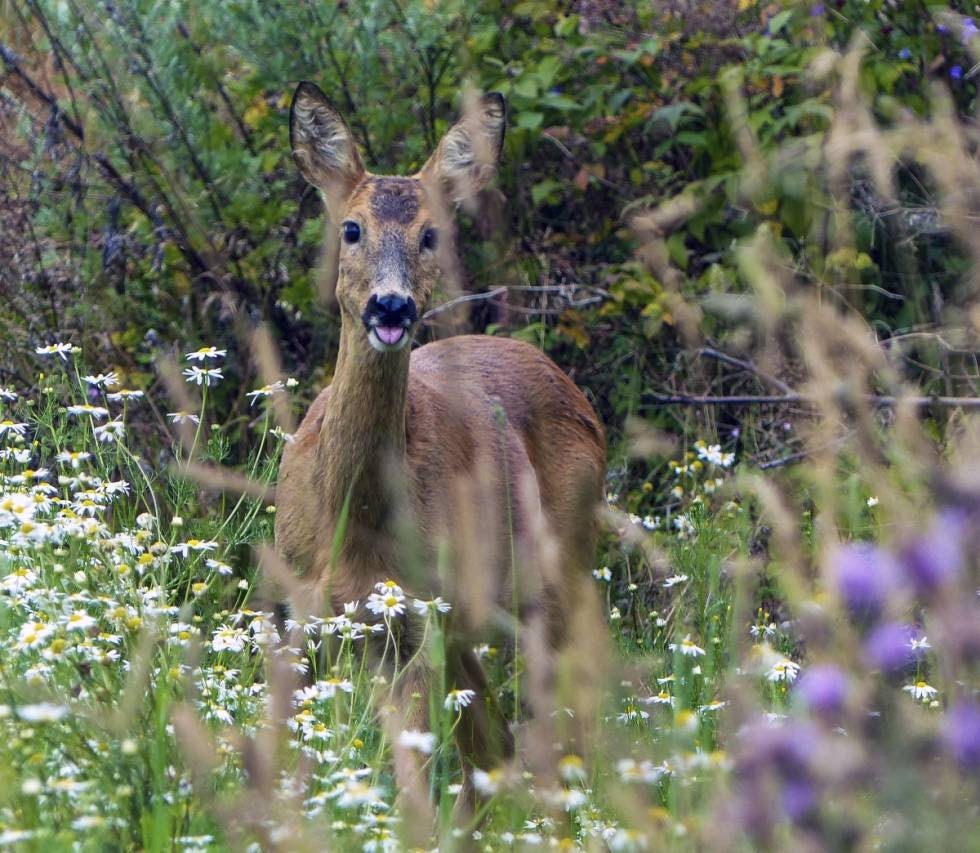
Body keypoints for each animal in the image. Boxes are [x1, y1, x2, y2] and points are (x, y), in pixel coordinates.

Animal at [274, 81, 604, 812]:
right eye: (351, 228)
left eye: (430, 234)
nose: (391, 307)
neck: (357, 516)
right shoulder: (311, 607)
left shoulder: (419, 612)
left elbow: (415, 778)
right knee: (497, 743)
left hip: (555, 570)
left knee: (560, 724)